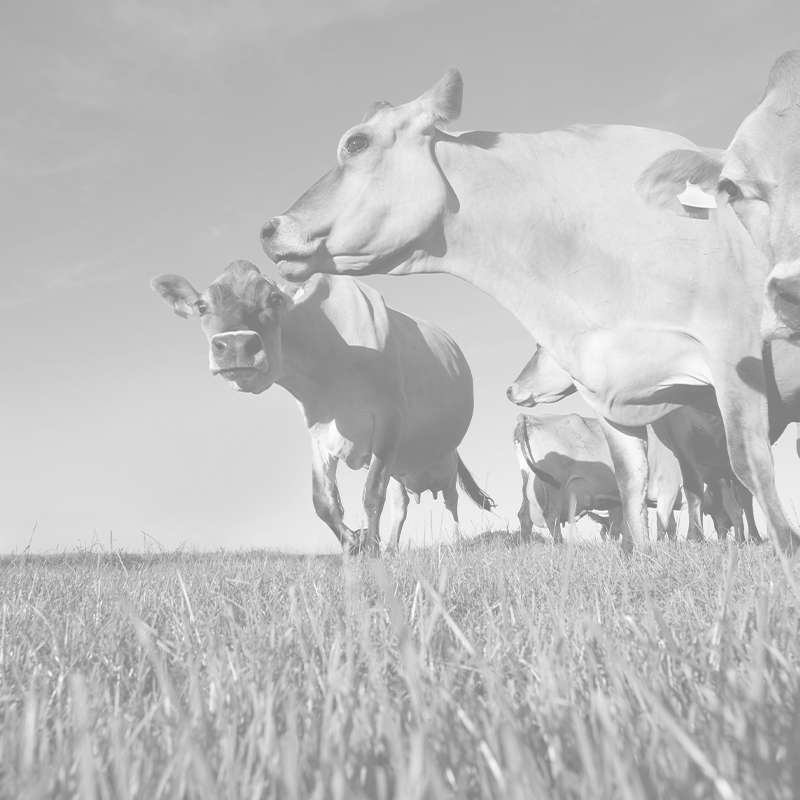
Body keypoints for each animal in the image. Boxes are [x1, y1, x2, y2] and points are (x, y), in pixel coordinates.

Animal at [150, 260, 494, 556]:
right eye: (201, 306)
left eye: (275, 300)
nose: (235, 346)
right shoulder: (320, 431)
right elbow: (323, 502)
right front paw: (355, 541)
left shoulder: (389, 421)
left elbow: (372, 494)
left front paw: (371, 550)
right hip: (402, 470)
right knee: (401, 506)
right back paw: (393, 548)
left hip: (446, 465)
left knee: (451, 504)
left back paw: (454, 542)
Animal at [513, 413, 682, 544]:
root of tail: (528, 416)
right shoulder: (668, 489)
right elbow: (663, 525)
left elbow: (670, 525)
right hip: (554, 485)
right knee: (551, 515)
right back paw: (560, 545)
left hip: (528, 483)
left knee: (524, 516)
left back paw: (525, 544)